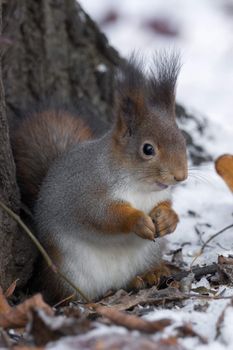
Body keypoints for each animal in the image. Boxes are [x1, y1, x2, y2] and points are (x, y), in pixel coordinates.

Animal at [11, 53, 188, 302]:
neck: (139, 186)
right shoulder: (87, 192)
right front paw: (137, 220)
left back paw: (150, 274)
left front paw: (167, 218)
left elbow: (166, 204)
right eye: (148, 149)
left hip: (148, 253)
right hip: (67, 272)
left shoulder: (160, 195)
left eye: (183, 141)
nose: (180, 176)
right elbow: (102, 215)